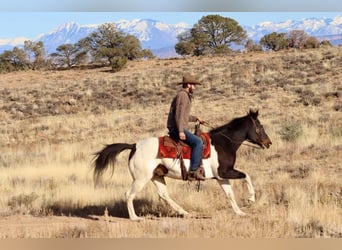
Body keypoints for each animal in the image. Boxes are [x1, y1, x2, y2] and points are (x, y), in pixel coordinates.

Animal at [92, 109, 272, 221]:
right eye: (260, 126)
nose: (268, 143)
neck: (223, 143)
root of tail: (134, 146)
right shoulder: (226, 172)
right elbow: (247, 176)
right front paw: (251, 199)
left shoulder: (221, 177)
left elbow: (230, 195)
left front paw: (240, 212)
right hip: (141, 179)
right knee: (129, 194)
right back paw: (135, 218)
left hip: (157, 176)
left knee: (164, 195)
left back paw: (185, 213)